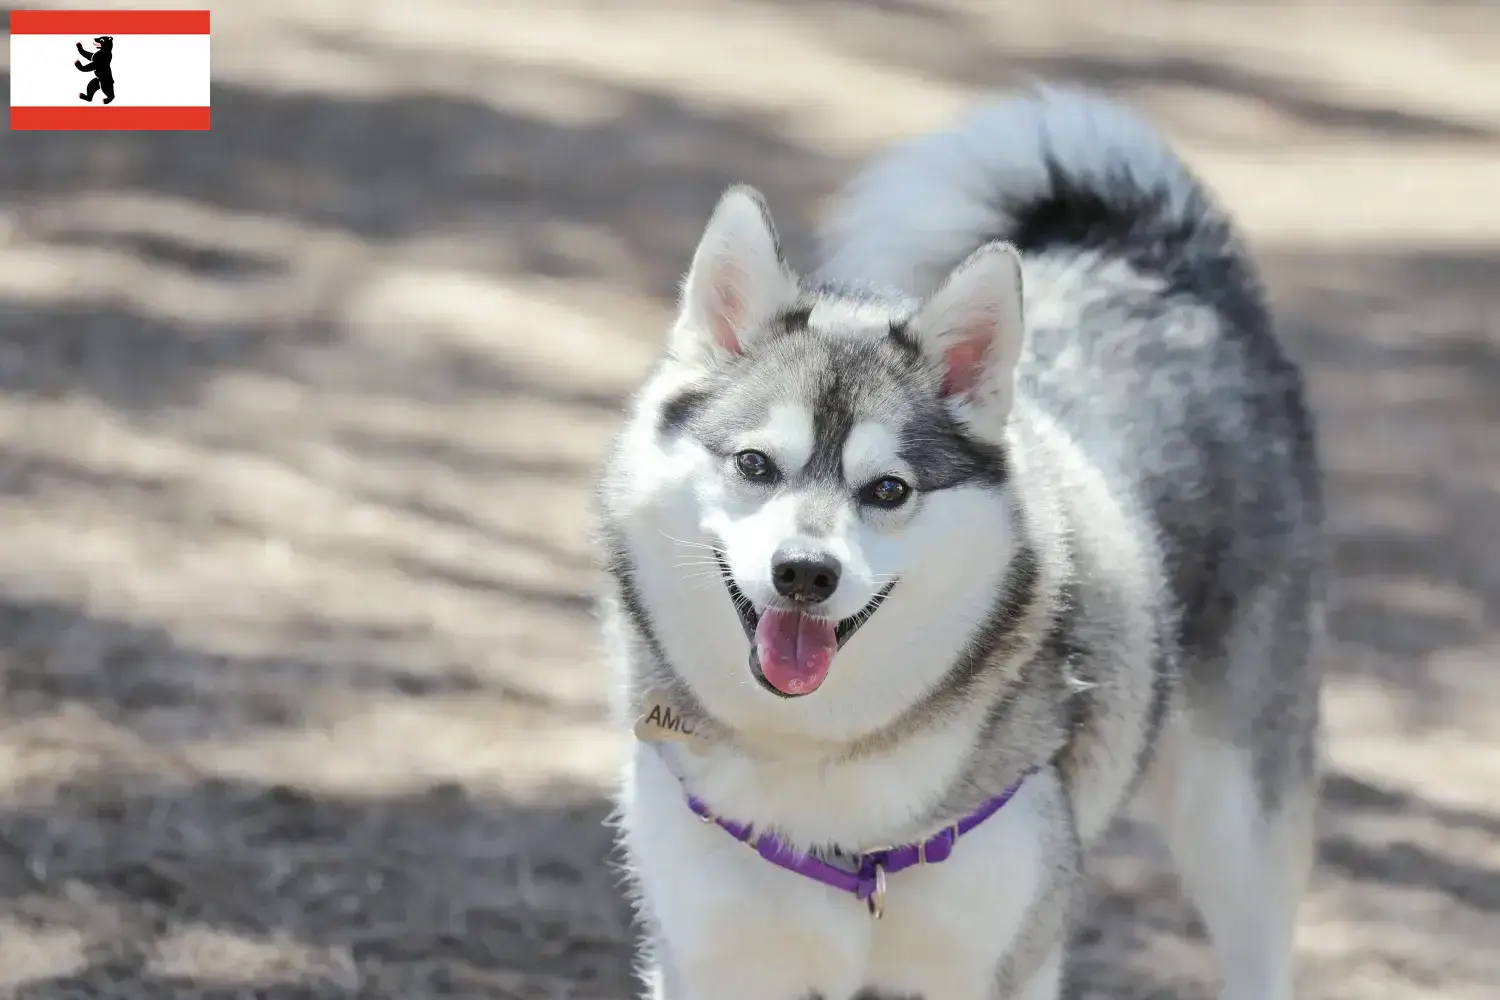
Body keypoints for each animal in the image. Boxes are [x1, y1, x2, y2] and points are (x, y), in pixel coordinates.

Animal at [591, 86, 1320, 1000]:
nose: (803, 574)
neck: (825, 774)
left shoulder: (998, 961)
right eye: (755, 464)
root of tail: (1150, 259)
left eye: (888, 490)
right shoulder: (714, 960)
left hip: (1236, 817)